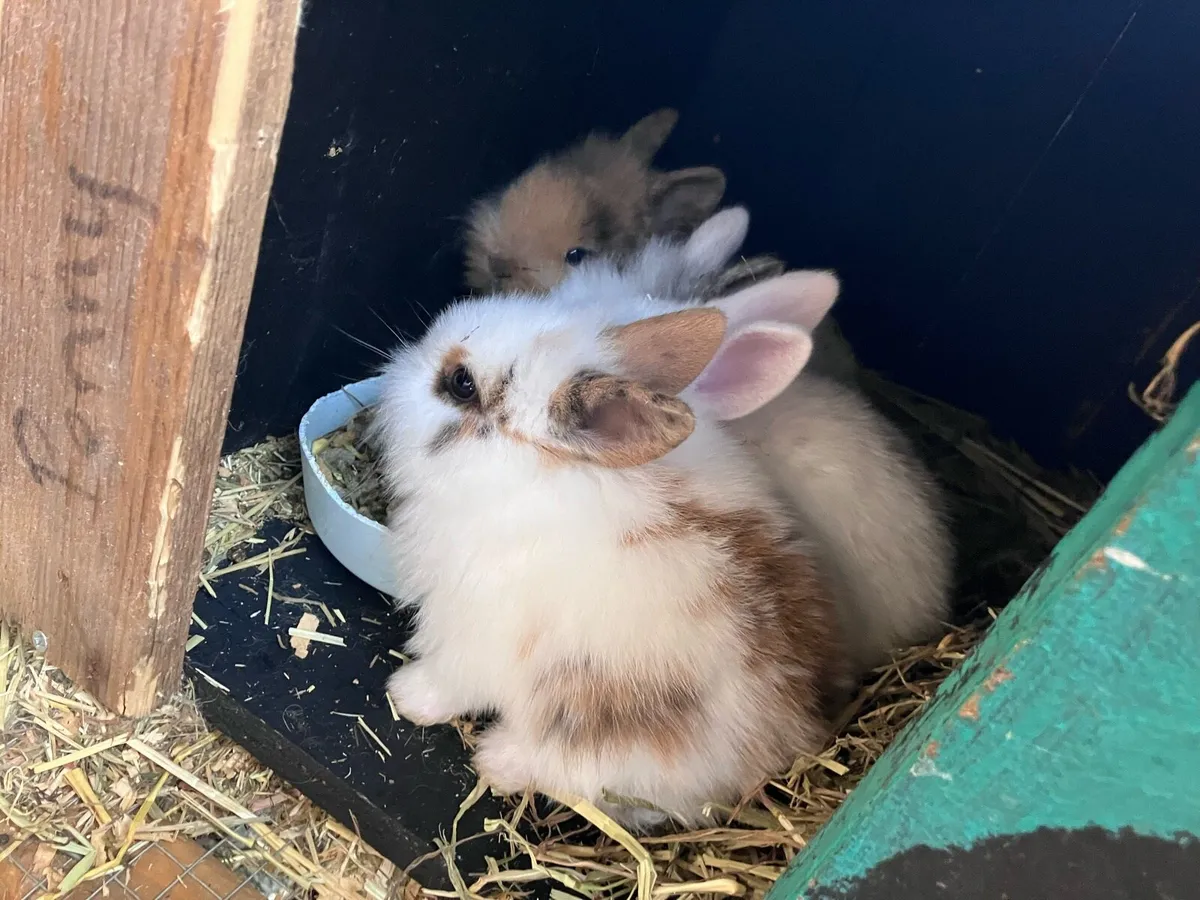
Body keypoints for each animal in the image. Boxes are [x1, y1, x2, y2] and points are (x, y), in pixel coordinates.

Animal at [373, 272, 852, 830]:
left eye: (460, 383)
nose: (398, 363)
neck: (536, 470)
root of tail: (783, 738)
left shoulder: (472, 635)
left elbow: (448, 681)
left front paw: (403, 694)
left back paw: (495, 761)